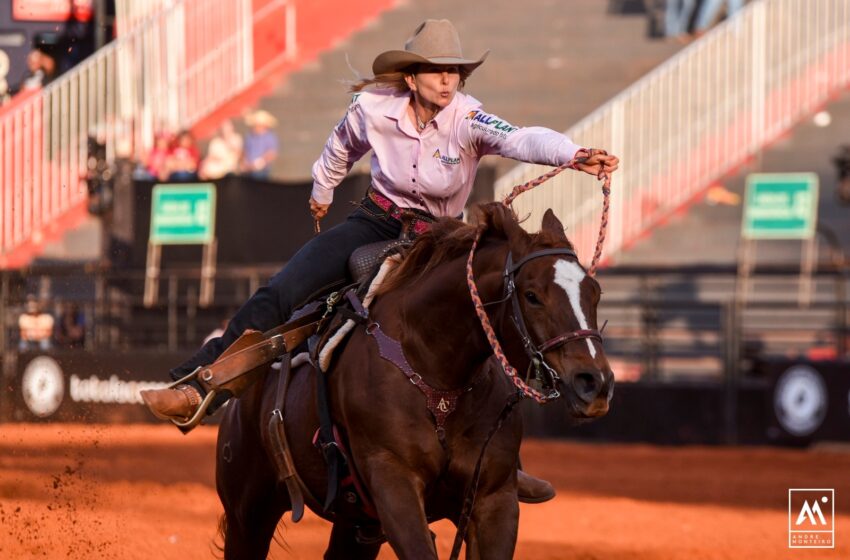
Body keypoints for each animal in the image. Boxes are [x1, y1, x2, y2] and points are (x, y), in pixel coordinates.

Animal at [212, 202, 608, 560]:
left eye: (595, 292)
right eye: (532, 295)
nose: (595, 382)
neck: (435, 371)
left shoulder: (495, 499)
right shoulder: (394, 483)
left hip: (357, 526)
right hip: (248, 513)